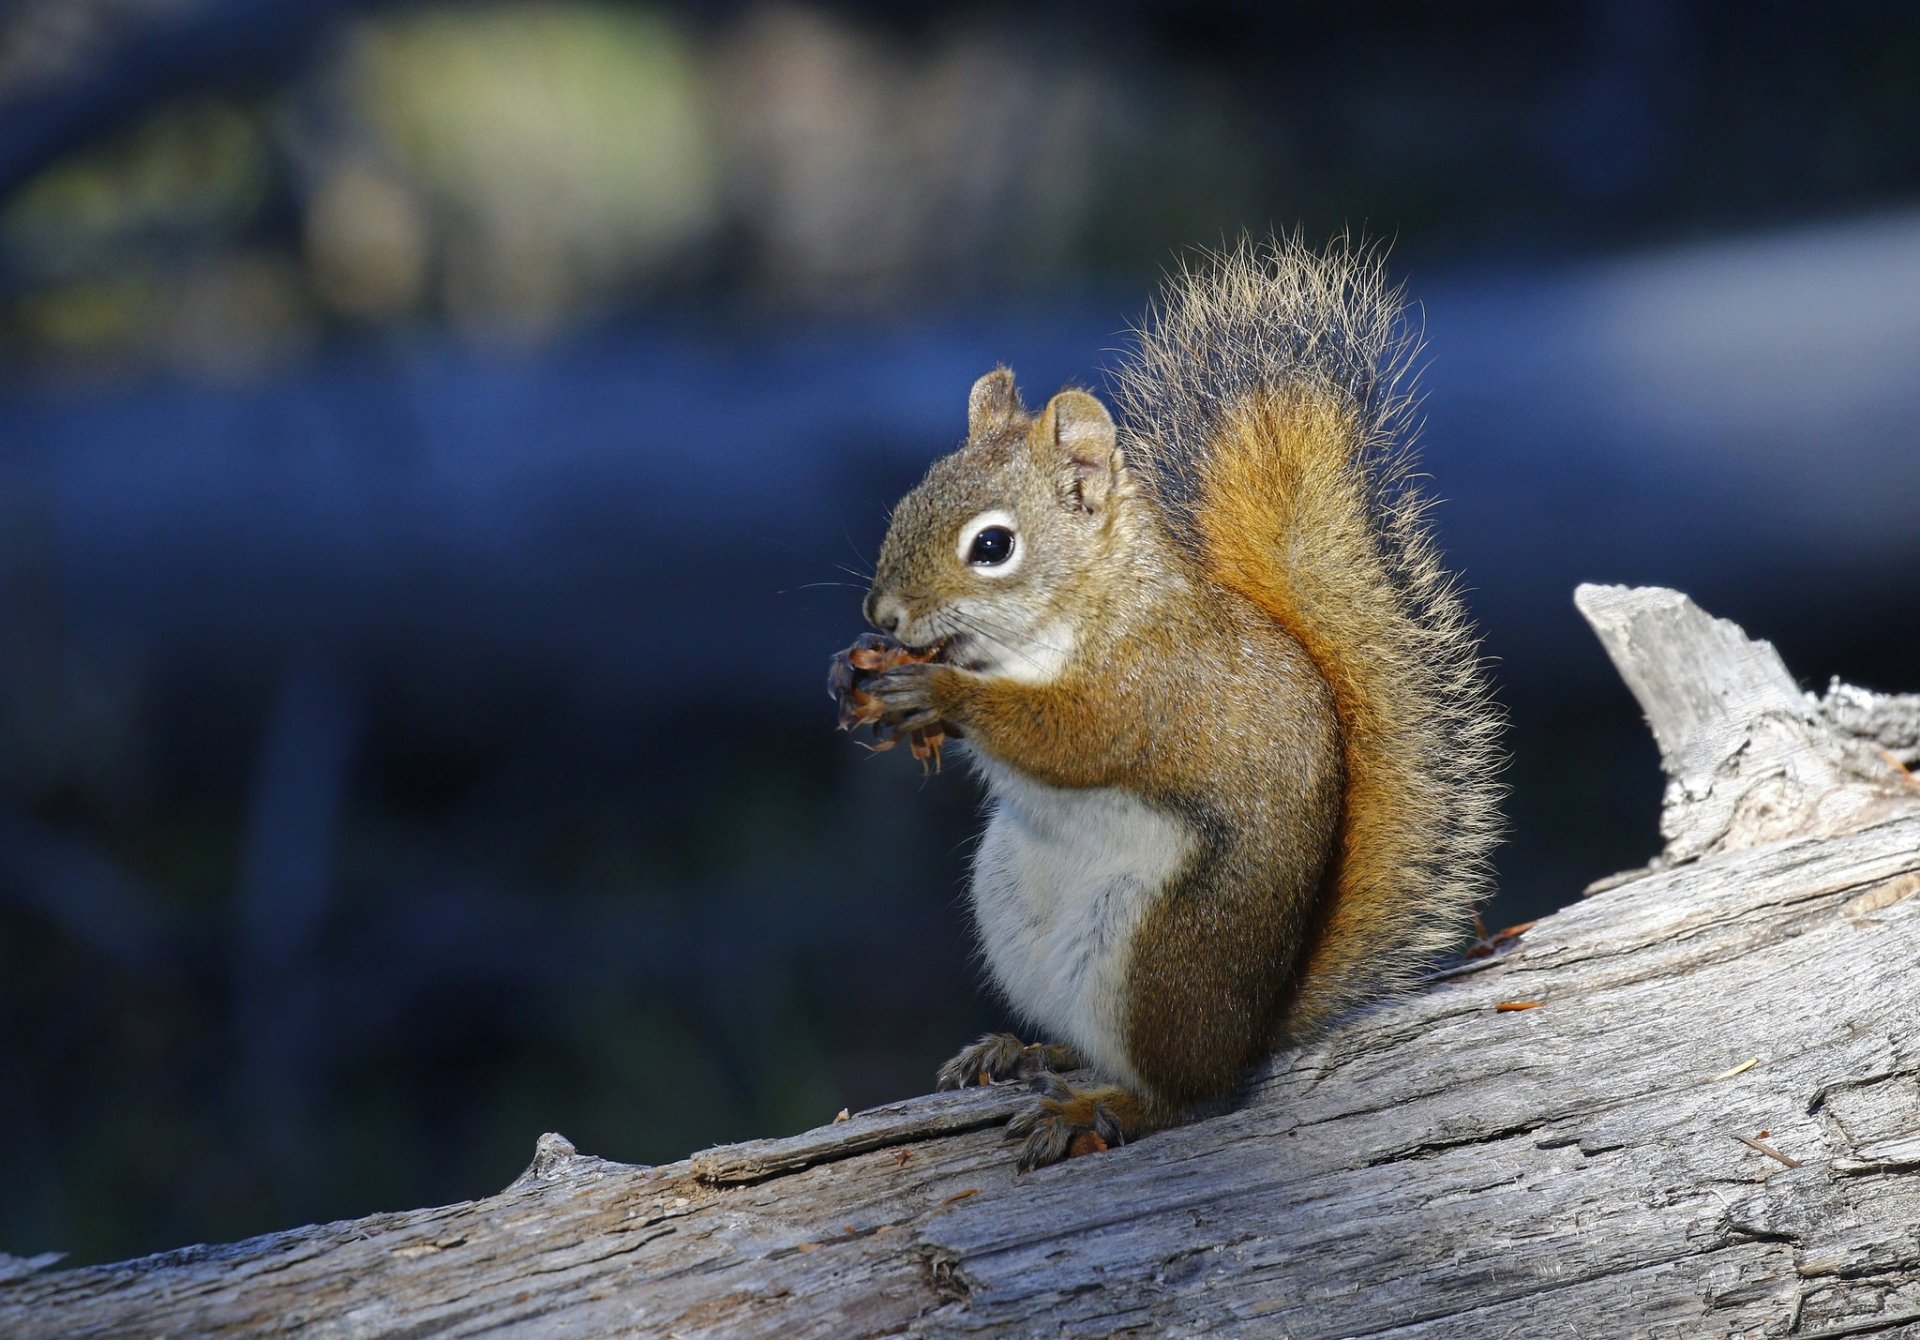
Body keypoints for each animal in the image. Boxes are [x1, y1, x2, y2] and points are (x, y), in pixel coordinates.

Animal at [829, 237, 1503, 1169]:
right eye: (907, 502)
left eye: (992, 546)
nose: (883, 617)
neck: (1080, 605)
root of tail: (1247, 1034)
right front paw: (857, 675)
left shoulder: (1147, 684)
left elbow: (1070, 739)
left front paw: (937, 691)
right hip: (1010, 907)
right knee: (1085, 1042)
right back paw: (1021, 1050)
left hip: (1151, 957)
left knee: (1185, 1097)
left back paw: (1097, 1107)